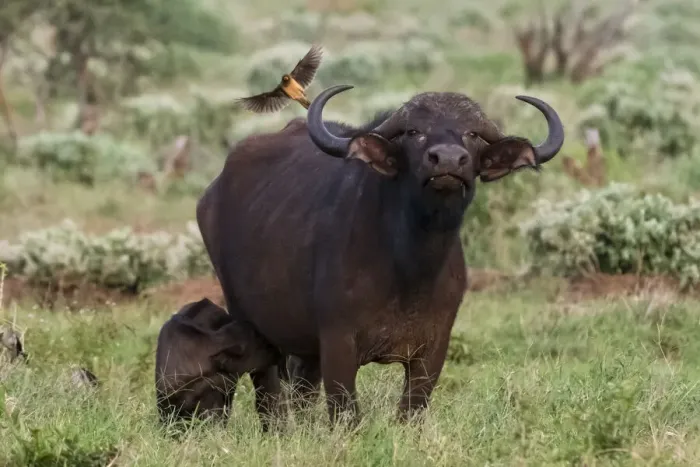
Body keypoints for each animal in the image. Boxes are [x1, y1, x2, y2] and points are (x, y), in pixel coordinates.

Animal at [196, 84, 564, 429]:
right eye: (414, 131)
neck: (410, 268)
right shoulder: (338, 344)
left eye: (471, 133)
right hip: (248, 322)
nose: (447, 160)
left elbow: (411, 412)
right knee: (269, 394)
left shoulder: (432, 350)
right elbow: (346, 415)